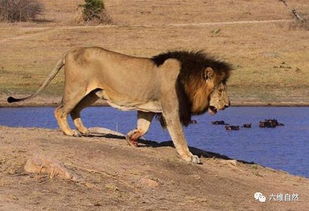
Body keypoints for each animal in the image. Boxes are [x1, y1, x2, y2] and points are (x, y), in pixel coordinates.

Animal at [6, 47, 231, 163]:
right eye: (220, 90)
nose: (229, 105)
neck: (188, 80)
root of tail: (69, 52)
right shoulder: (170, 110)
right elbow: (179, 137)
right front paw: (189, 156)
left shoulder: (147, 108)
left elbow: (143, 127)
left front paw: (131, 138)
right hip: (77, 89)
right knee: (60, 110)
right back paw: (70, 132)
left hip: (92, 93)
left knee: (75, 109)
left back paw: (84, 130)